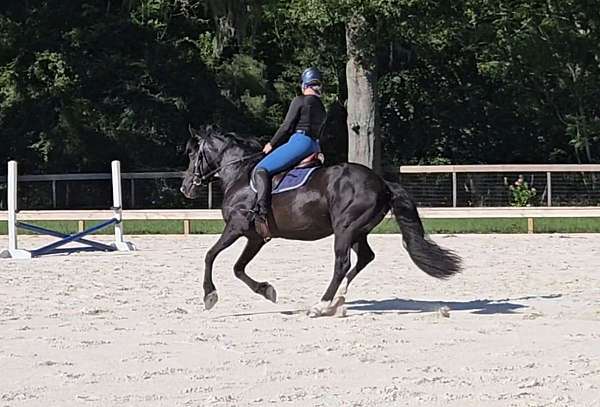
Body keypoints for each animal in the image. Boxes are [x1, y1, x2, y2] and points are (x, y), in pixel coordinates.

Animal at [180, 126, 462, 318]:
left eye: (193, 155)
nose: (185, 188)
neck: (240, 174)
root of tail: (382, 183)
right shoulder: (256, 237)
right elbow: (238, 268)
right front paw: (267, 290)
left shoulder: (236, 227)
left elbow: (210, 255)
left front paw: (209, 295)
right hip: (357, 231)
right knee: (364, 258)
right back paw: (338, 299)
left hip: (345, 229)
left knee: (342, 263)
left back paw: (321, 304)